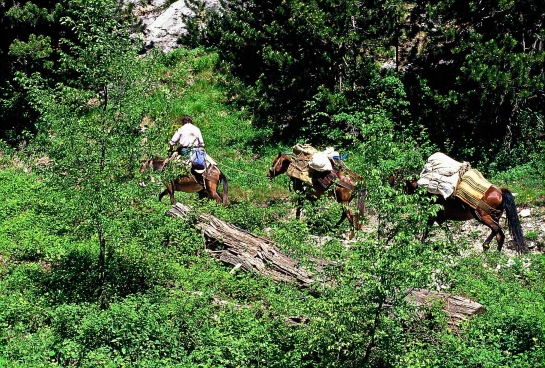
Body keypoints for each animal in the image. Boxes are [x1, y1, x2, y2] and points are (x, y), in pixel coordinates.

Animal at [388, 170, 524, 253]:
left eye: (404, 183)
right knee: (500, 235)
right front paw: (420, 246)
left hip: (483, 216)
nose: (392, 192)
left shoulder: (440, 218)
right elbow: (426, 232)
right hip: (493, 217)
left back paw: (485, 245)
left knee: (496, 229)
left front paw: (455, 250)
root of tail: (500, 192)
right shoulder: (432, 218)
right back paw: (495, 254)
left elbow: (447, 233)